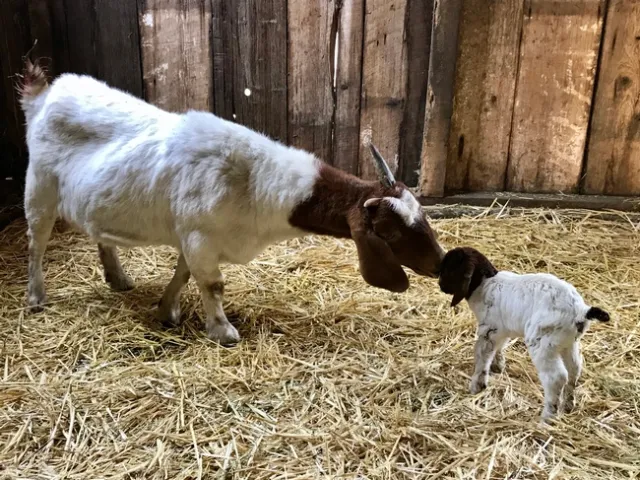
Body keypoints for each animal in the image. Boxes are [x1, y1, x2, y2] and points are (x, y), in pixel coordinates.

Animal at [18, 60, 445, 346]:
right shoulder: (199, 235)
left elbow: (184, 274)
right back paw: (36, 296)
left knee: (98, 231)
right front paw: (222, 331)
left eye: (423, 218)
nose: (440, 264)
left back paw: (118, 278)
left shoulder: (193, 237)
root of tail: (44, 95)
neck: (254, 180)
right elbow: (212, 284)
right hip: (39, 187)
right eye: (390, 232)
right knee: (36, 243)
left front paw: (166, 310)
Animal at [438, 247, 610, 420]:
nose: (440, 285)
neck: (484, 284)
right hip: (568, 343)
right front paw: (498, 366)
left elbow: (482, 356)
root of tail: (581, 311)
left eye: (450, 267)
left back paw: (548, 417)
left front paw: (476, 386)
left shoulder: (488, 329)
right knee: (574, 369)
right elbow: (499, 347)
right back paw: (567, 406)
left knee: (556, 378)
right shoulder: (501, 329)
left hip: (543, 342)